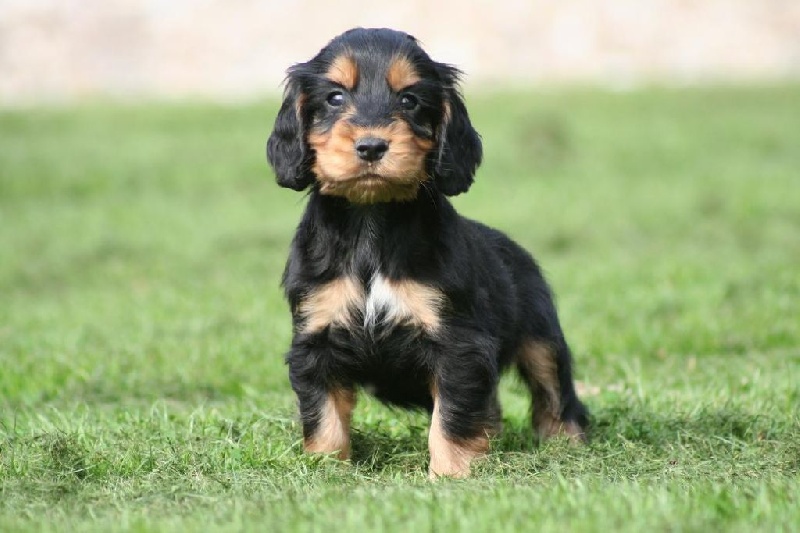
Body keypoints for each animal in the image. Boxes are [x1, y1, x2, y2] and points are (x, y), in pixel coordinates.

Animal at [268, 28, 588, 478]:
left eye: (409, 100)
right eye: (334, 97)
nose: (371, 146)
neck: (372, 219)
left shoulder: (459, 347)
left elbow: (451, 417)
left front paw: (450, 475)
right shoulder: (316, 340)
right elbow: (324, 417)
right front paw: (327, 472)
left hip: (542, 336)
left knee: (555, 393)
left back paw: (565, 444)